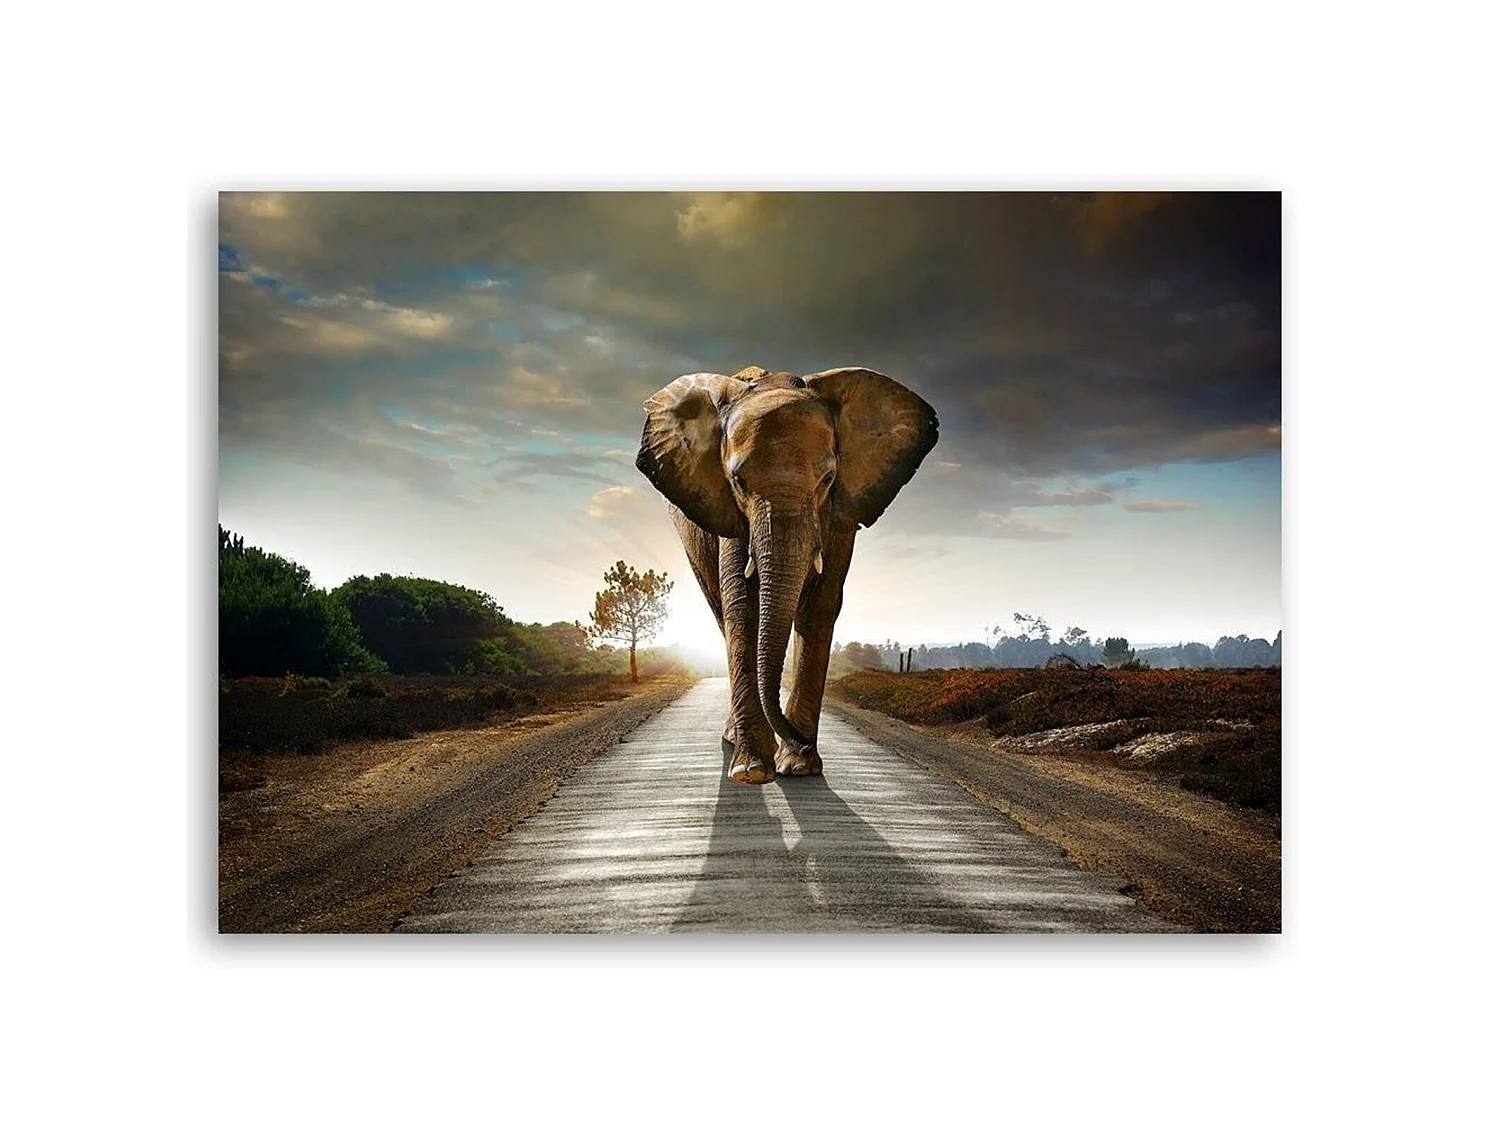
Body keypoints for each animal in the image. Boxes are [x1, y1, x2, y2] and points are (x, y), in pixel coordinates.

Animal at [635, 365, 939, 784]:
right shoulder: (731, 515)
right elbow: (742, 607)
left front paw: (799, 767)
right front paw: (751, 771)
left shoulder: (841, 514)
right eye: (737, 482)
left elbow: (820, 606)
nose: (799, 740)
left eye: (828, 479)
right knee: (721, 613)